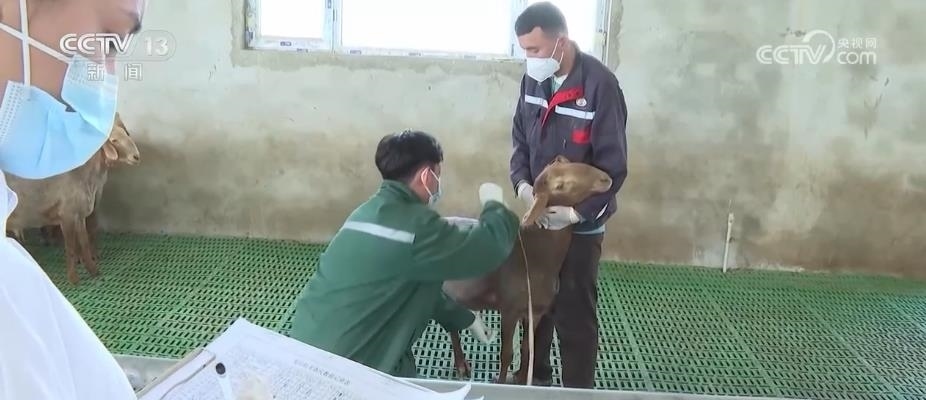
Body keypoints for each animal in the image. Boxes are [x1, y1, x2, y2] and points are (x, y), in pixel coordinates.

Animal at [5, 113, 139, 285]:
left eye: (126, 134)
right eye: (114, 140)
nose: (136, 157)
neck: (82, 175)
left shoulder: (79, 215)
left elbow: (84, 242)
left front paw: (94, 271)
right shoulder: (66, 215)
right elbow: (70, 247)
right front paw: (73, 279)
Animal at [441, 155, 613, 385]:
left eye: (572, 163)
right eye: (560, 185)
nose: (606, 178)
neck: (533, 256)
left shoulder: (535, 311)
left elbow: (528, 348)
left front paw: (523, 379)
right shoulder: (509, 308)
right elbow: (506, 353)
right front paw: (501, 381)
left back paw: (461, 364)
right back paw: (461, 366)